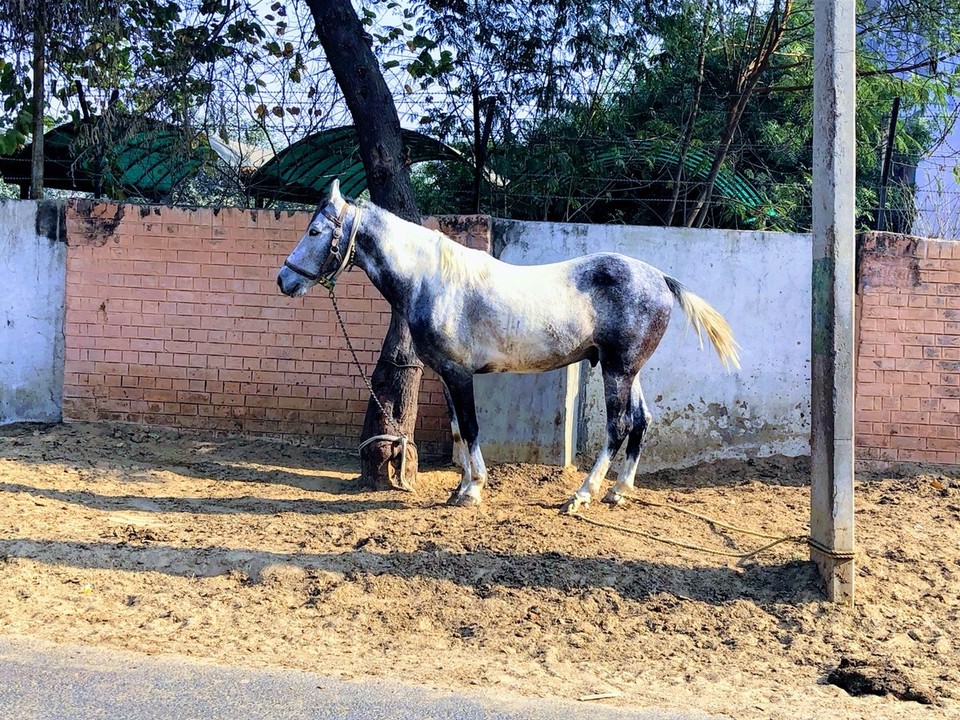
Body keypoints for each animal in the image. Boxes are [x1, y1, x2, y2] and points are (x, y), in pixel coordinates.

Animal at [277, 180, 740, 513]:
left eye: (315, 230)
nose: (284, 280)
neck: (434, 281)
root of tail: (658, 277)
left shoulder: (459, 374)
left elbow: (472, 428)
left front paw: (473, 490)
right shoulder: (446, 375)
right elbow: (458, 429)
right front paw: (460, 487)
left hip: (617, 370)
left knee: (619, 426)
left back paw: (582, 495)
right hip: (628, 369)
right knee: (642, 421)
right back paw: (619, 491)